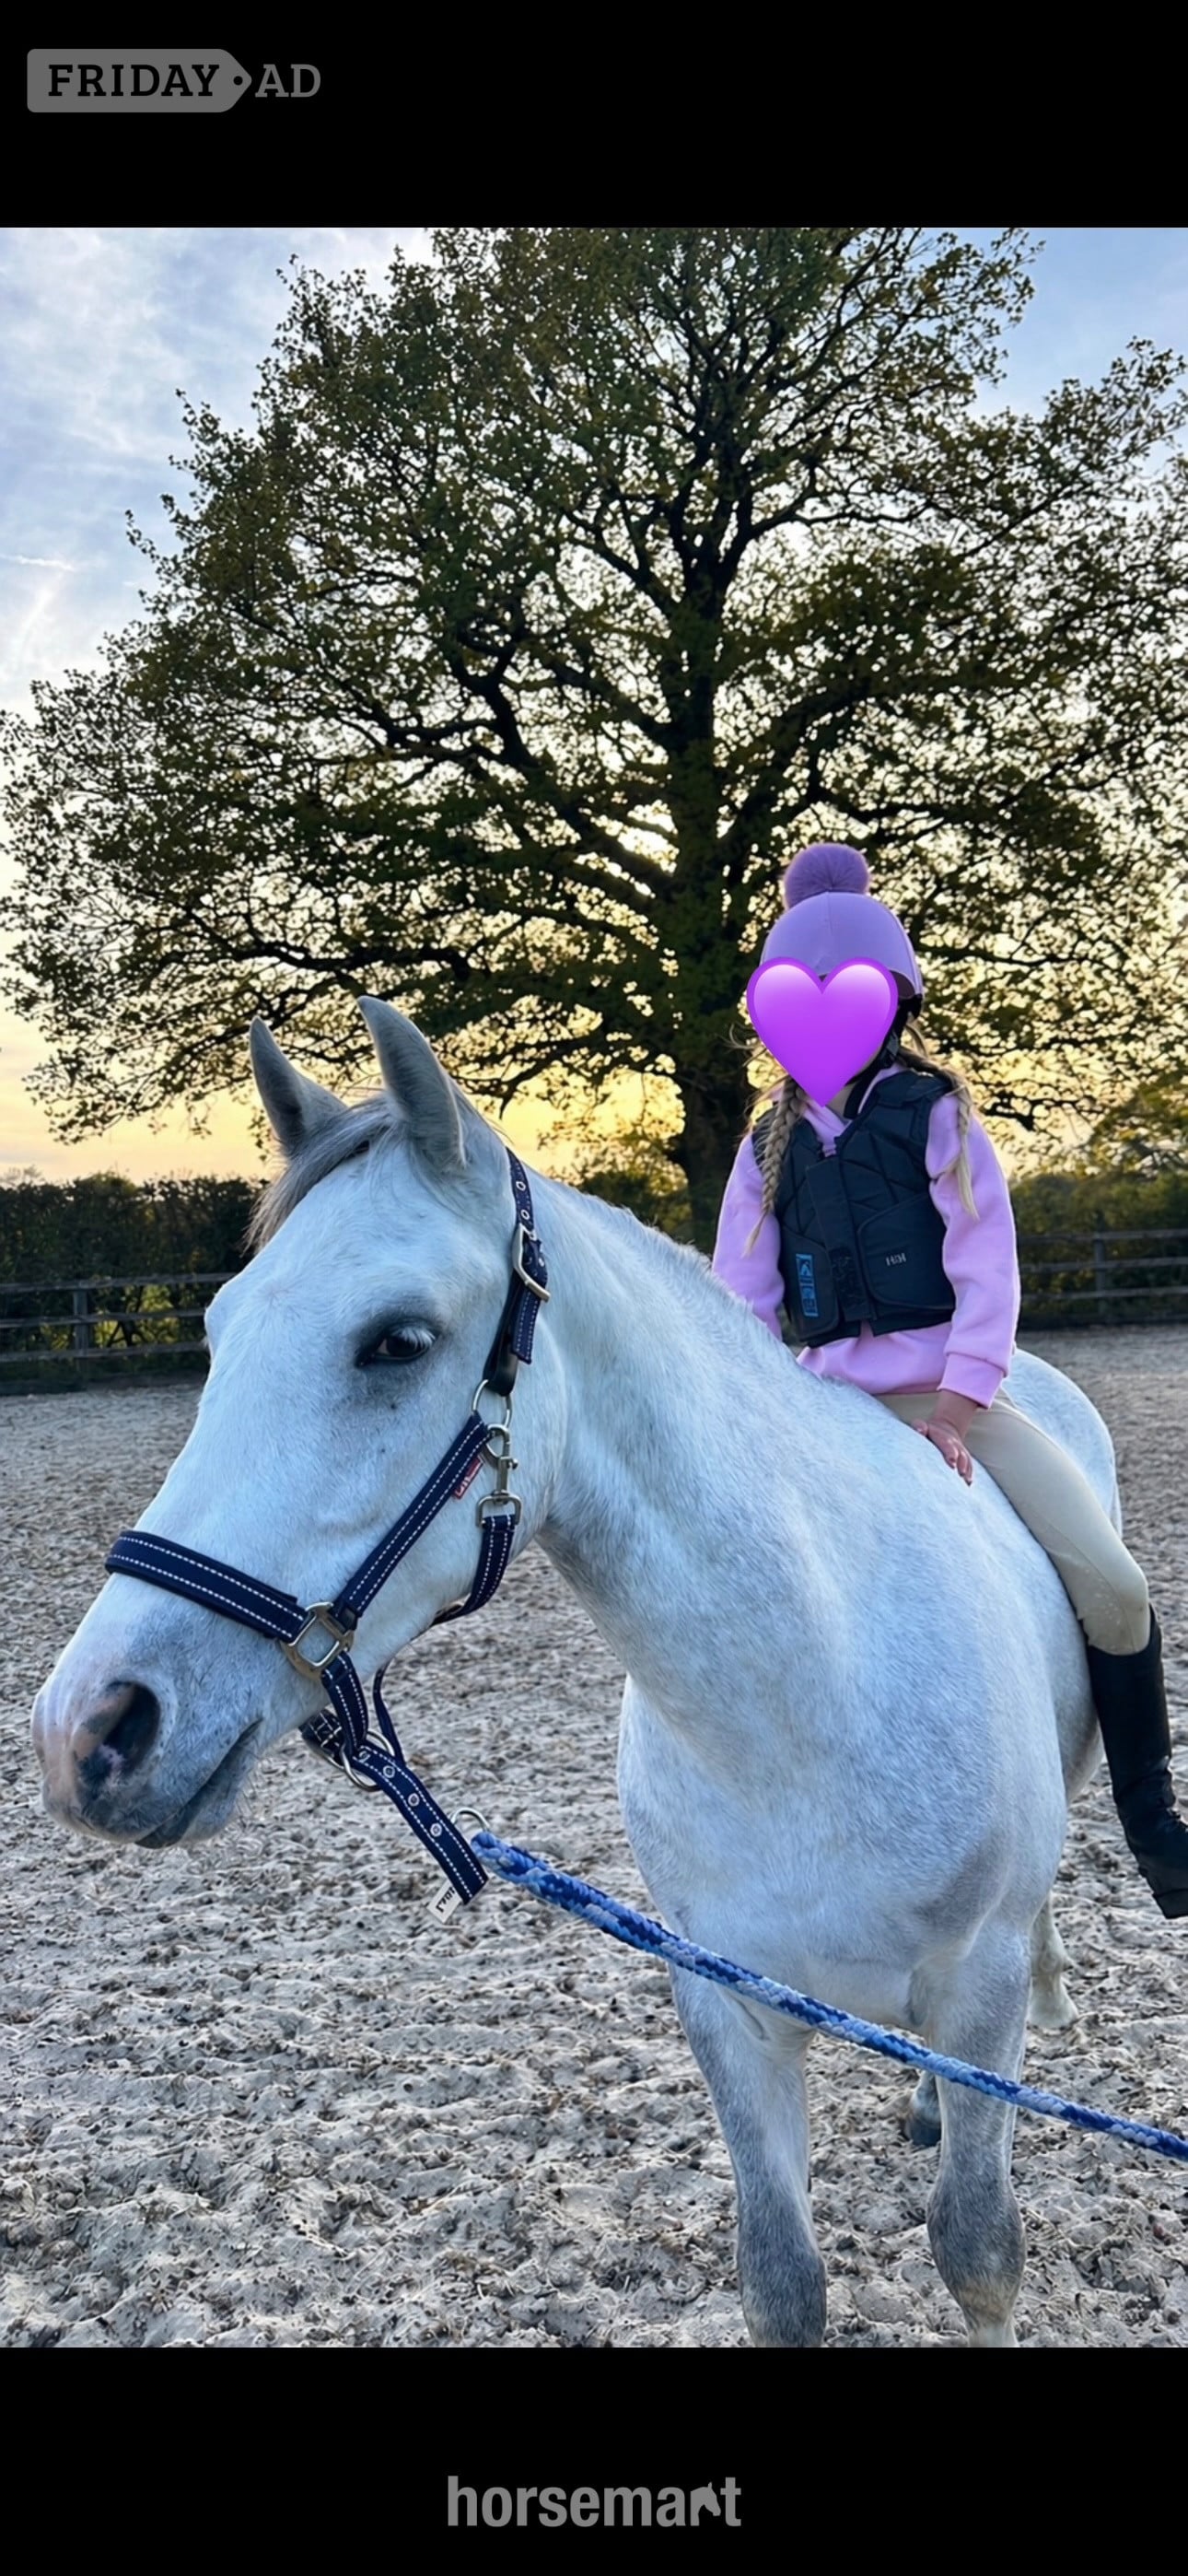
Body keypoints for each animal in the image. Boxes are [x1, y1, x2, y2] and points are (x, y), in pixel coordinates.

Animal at [30, 997, 1110, 2349]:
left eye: (396, 1341)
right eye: (219, 1332)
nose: (90, 1732)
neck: (811, 1699)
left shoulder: (972, 1992)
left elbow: (976, 2251)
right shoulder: (726, 2002)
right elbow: (782, 2281)